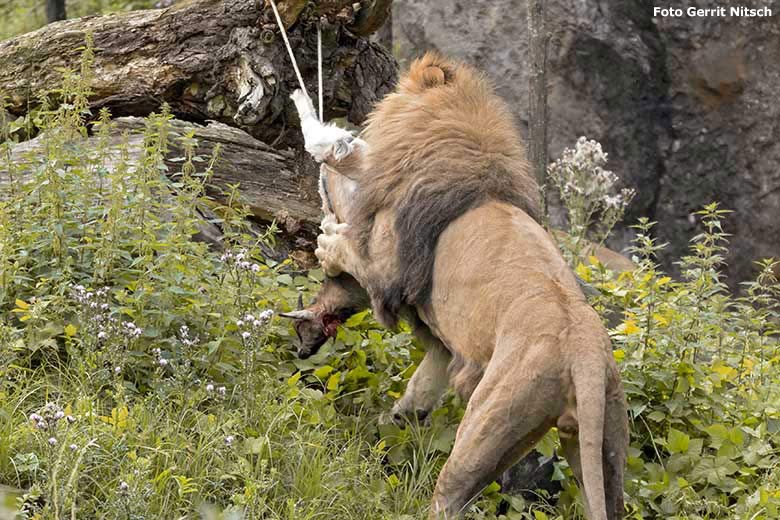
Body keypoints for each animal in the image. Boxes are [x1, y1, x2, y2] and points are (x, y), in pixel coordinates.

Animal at [284, 53, 632, 520]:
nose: (303, 345)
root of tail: (585, 353)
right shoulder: (441, 340)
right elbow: (424, 380)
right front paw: (394, 423)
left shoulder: (385, 267)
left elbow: (347, 232)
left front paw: (326, 240)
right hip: (605, 445)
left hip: (487, 424)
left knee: (449, 495)